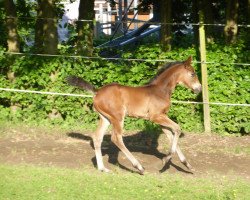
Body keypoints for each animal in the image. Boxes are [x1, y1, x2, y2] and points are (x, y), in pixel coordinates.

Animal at [67, 55, 202, 173]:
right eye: (192, 74)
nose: (199, 88)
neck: (160, 90)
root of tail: (97, 92)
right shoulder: (156, 117)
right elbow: (177, 129)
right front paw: (166, 159)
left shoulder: (161, 119)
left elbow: (172, 135)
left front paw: (186, 164)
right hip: (117, 117)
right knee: (116, 138)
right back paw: (139, 167)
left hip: (105, 118)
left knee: (97, 137)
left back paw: (102, 168)